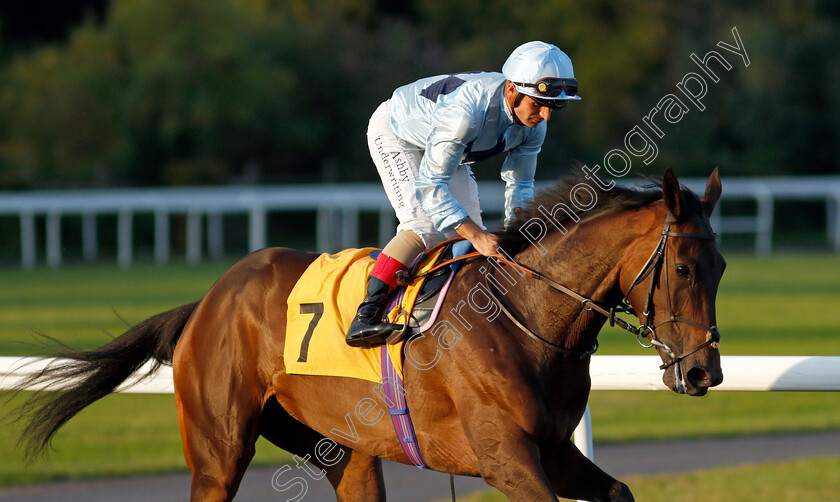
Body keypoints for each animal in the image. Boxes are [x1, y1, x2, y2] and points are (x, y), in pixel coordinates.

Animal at [11, 170, 720, 502]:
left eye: (719, 267)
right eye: (685, 268)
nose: (702, 372)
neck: (528, 316)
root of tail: (210, 298)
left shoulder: (552, 449)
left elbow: (619, 489)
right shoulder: (505, 458)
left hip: (340, 449)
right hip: (219, 449)